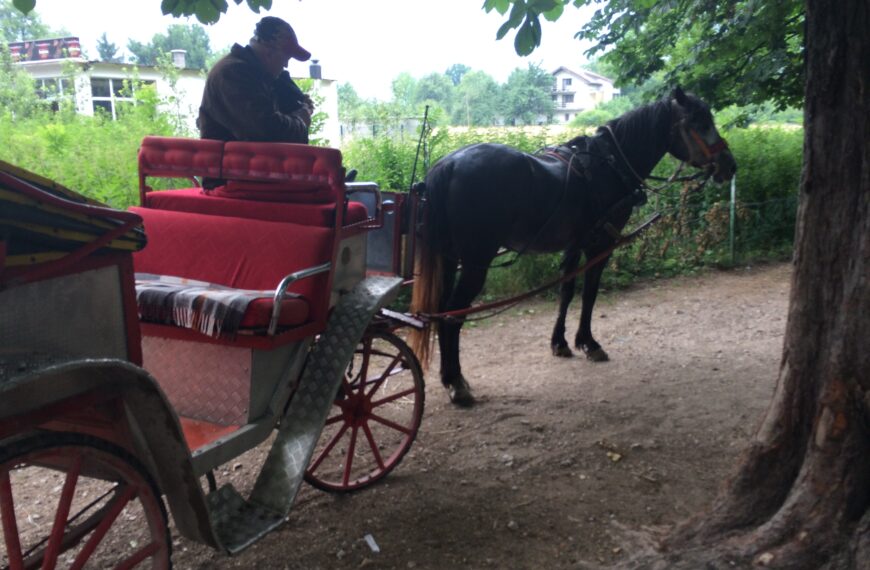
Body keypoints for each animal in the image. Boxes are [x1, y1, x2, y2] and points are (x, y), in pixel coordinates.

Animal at [412, 87, 740, 404]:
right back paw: (457, 383)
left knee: (441, 311)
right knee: (452, 315)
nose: (729, 165)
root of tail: (448, 164)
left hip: (449, 258)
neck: (610, 166)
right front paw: (589, 343)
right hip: (475, 262)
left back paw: (451, 378)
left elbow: (567, 292)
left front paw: (560, 342)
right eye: (700, 123)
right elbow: (590, 293)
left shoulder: (574, 244)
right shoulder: (601, 244)